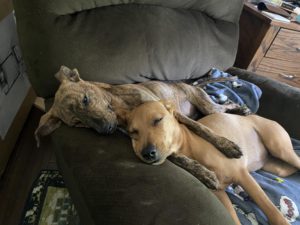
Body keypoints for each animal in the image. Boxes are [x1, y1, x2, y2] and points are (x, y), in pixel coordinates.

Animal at [35, 66, 251, 159]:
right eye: (78, 123)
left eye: (85, 100)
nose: (106, 130)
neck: (119, 106)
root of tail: (188, 83)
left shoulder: (172, 113)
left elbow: (202, 130)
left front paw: (227, 146)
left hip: (207, 106)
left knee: (221, 107)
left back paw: (239, 107)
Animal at [123, 100, 300, 225]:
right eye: (133, 133)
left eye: (158, 120)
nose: (147, 153)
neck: (189, 147)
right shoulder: (220, 194)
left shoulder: (243, 176)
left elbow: (273, 212)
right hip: (277, 167)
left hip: (280, 148)